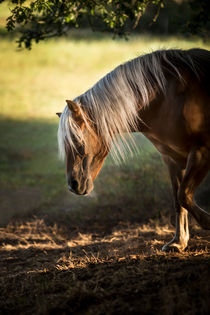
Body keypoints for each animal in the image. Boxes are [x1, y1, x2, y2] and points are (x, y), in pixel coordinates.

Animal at [56, 48, 210, 252]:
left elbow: (184, 195)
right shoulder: (171, 159)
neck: (168, 98)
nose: (73, 185)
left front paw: (206, 222)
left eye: (77, 141)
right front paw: (179, 242)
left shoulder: (201, 151)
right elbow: (179, 199)